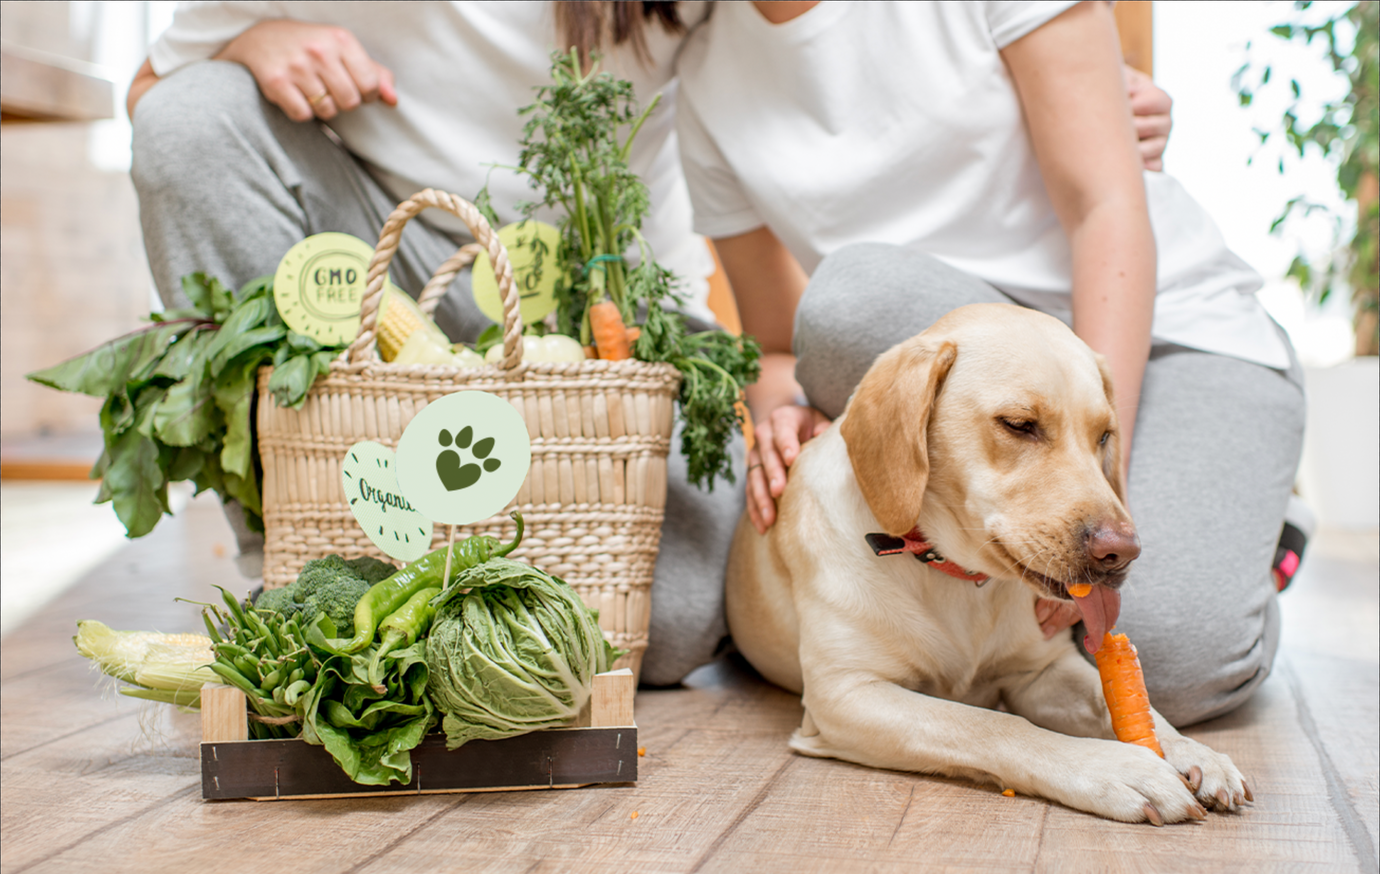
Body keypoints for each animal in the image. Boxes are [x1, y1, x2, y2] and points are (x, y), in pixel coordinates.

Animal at [734, 303, 1253, 822]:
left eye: (1105, 436)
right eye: (1020, 424)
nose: (1122, 552)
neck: (957, 576)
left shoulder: (1043, 671)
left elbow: (1122, 706)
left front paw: (1193, 750)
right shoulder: (846, 694)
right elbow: (991, 724)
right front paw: (1119, 769)